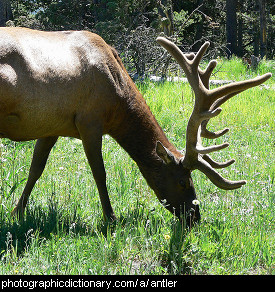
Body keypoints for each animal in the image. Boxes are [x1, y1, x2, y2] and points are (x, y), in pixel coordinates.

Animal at [0, 27, 272, 225]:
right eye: (183, 182)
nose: (195, 217)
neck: (118, 97)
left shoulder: (52, 126)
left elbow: (36, 168)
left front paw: (17, 212)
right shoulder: (90, 121)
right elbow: (100, 173)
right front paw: (110, 218)